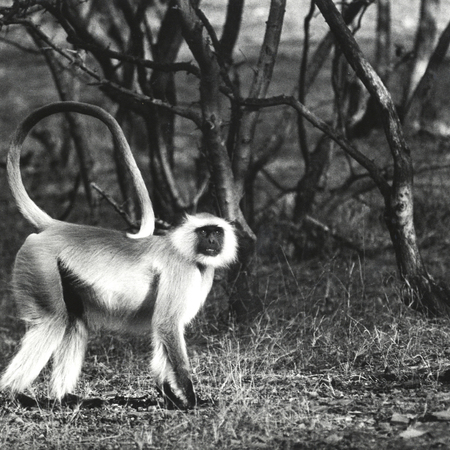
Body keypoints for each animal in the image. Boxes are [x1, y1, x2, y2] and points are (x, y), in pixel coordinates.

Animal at [1, 102, 238, 409]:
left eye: (217, 232)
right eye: (204, 231)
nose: (211, 241)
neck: (182, 247)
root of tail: (56, 226)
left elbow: (162, 330)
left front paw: (168, 394)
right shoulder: (182, 269)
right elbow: (167, 325)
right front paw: (189, 398)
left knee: (74, 321)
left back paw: (63, 398)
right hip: (39, 262)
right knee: (54, 322)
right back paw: (14, 395)